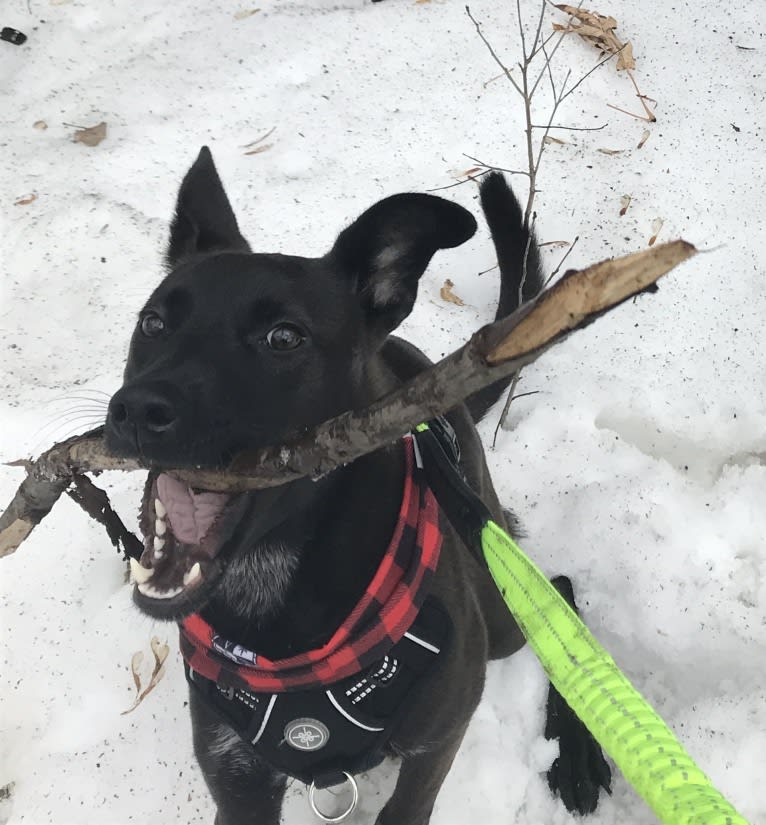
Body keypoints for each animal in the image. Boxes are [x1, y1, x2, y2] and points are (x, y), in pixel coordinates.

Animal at [106, 150, 612, 824]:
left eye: (284, 337)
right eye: (154, 323)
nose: (135, 410)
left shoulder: (437, 741)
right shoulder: (238, 778)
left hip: (498, 605)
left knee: (557, 598)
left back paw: (579, 756)